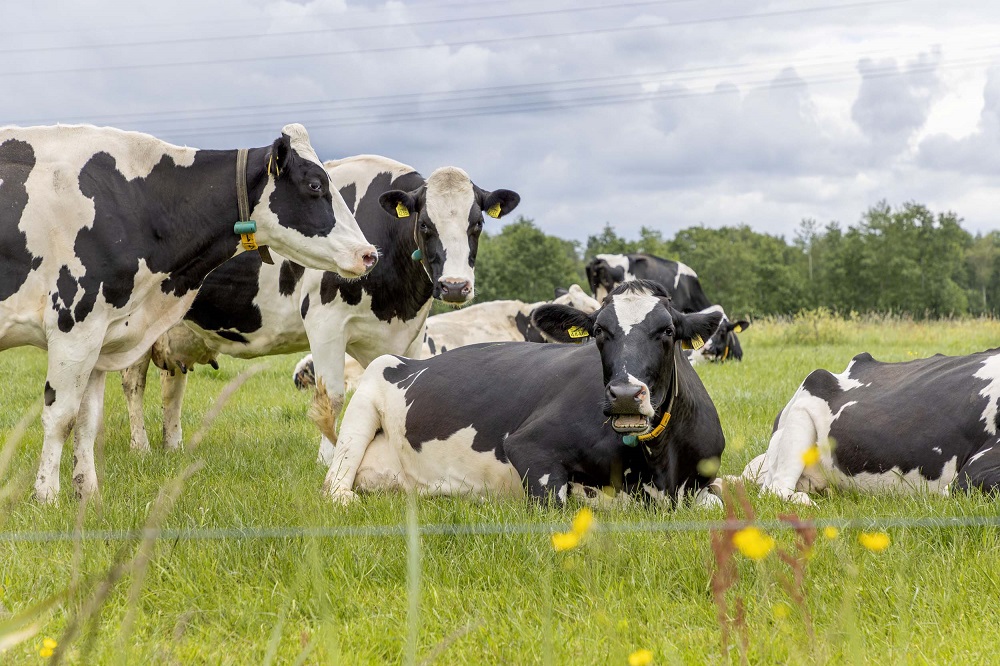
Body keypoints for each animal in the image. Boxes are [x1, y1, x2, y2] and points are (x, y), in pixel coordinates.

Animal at [0, 123, 376, 498]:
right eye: (315, 185)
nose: (369, 253)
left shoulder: (100, 333)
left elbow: (87, 420)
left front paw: (87, 494)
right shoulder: (73, 326)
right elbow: (61, 417)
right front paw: (46, 495)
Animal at [121, 154, 520, 462]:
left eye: (477, 224)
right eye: (424, 224)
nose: (454, 286)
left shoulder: (409, 335)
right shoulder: (326, 321)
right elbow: (333, 396)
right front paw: (328, 458)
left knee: (172, 385)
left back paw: (173, 447)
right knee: (133, 383)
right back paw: (140, 448)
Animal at [324, 278, 724, 504]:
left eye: (668, 331)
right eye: (598, 330)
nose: (625, 393)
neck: (657, 465)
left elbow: (717, 500)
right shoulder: (529, 446)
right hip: (364, 399)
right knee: (334, 487)